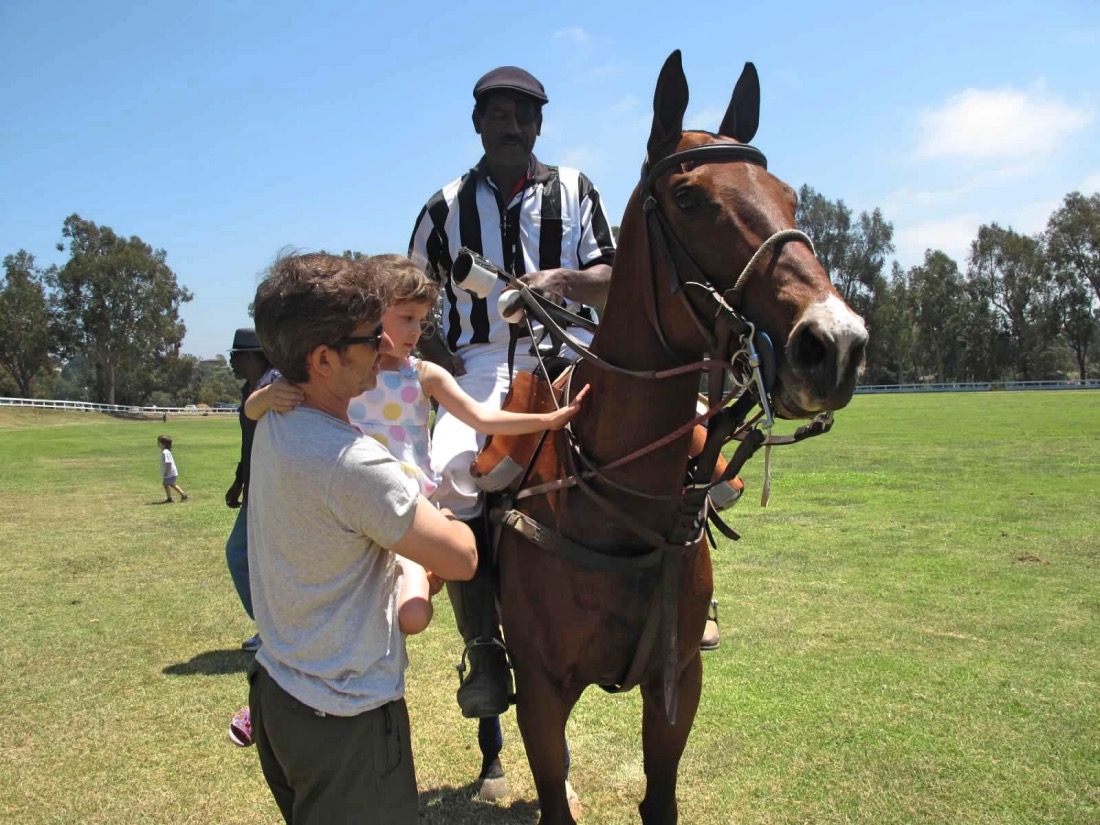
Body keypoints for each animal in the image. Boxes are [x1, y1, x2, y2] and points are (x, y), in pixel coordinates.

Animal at [489, 50, 868, 824]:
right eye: (690, 198)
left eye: (791, 198)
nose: (837, 344)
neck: (618, 501)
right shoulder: (540, 688)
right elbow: (552, 785)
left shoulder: (678, 680)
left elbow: (658, 796)